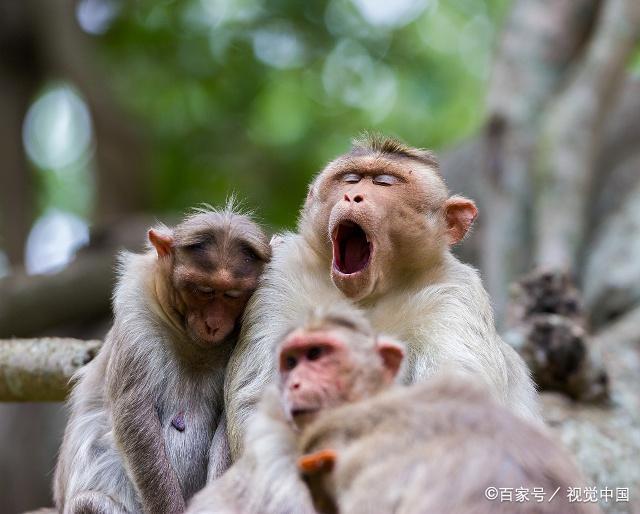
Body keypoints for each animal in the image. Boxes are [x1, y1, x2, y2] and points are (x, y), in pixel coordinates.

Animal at [55, 206, 272, 512]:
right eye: (203, 291)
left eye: (233, 295)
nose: (214, 324)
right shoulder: (136, 309)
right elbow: (135, 415)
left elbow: (234, 414)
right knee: (90, 502)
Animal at [225, 134, 540, 454]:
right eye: (350, 179)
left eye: (385, 182)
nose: (352, 196)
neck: (369, 296)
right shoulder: (283, 274)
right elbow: (255, 400)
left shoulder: (455, 294)